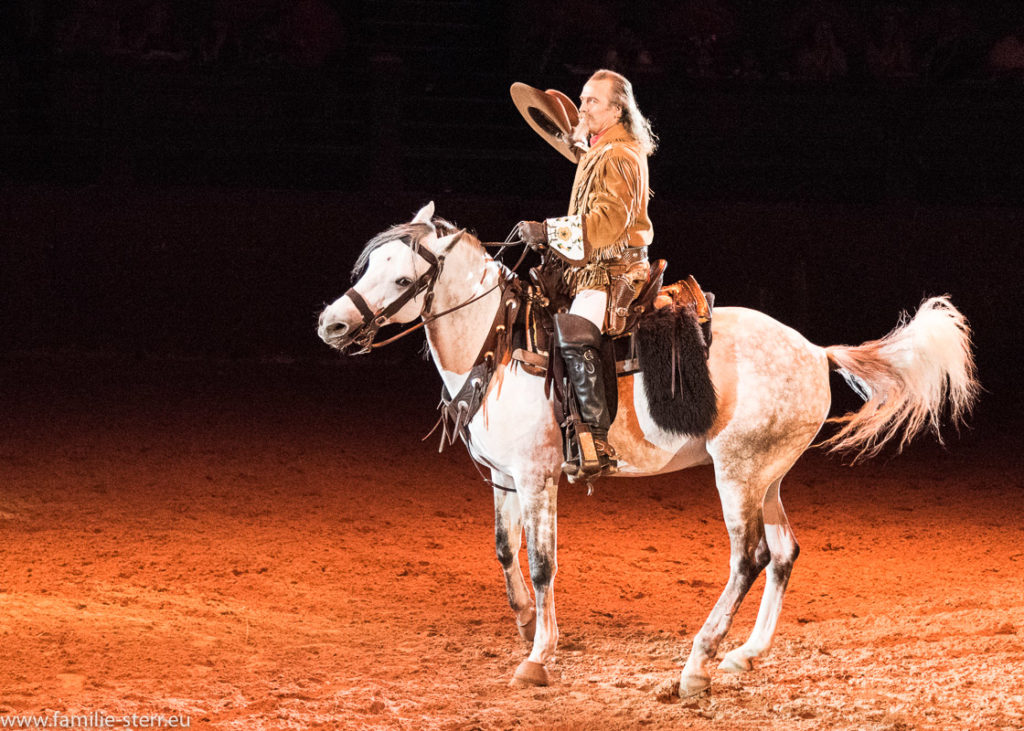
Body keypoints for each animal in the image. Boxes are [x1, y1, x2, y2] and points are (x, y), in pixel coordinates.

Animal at [315, 201, 978, 692]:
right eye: (368, 267)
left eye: (403, 277)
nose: (332, 325)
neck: (501, 345)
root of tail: (816, 350)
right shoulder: (504, 479)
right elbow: (505, 550)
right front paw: (527, 622)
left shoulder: (536, 478)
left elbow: (542, 561)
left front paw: (538, 656)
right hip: (768, 475)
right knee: (785, 554)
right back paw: (744, 655)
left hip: (738, 473)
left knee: (750, 558)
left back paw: (697, 665)